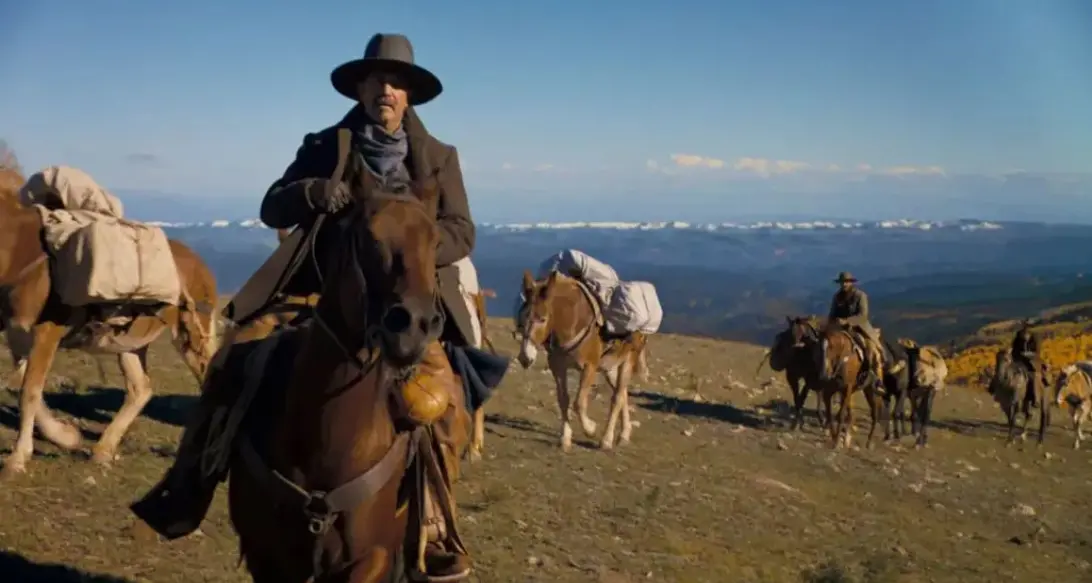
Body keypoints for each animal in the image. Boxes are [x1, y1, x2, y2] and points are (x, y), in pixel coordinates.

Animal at [0, 170, 219, 480]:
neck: (21, 256)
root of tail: (201, 265)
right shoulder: (18, 336)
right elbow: (26, 388)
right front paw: (66, 436)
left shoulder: (45, 335)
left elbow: (29, 392)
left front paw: (18, 458)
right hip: (129, 344)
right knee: (141, 389)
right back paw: (103, 449)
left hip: (190, 337)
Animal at [515, 269, 642, 451]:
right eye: (521, 317)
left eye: (542, 319)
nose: (524, 358)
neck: (572, 321)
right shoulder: (557, 367)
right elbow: (563, 400)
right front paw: (565, 438)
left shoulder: (589, 367)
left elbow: (579, 403)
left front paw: (590, 429)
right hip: (609, 367)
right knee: (623, 394)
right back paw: (624, 434)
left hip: (628, 360)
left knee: (617, 397)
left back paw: (607, 440)